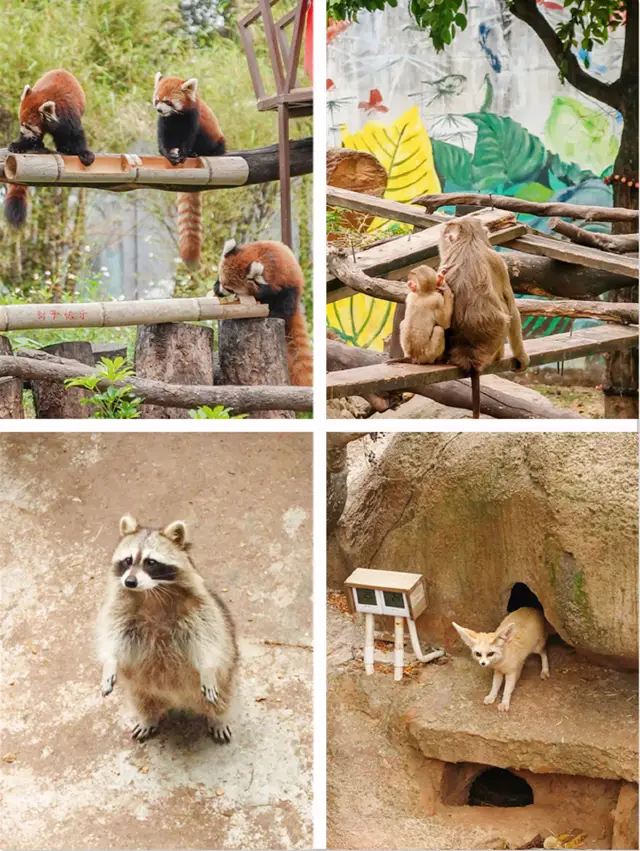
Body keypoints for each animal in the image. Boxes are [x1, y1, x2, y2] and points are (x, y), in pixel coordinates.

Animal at [4, 70, 95, 228]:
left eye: (28, 126)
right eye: (21, 123)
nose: (22, 133)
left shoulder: (69, 116)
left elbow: (76, 135)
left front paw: (84, 153)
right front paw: (19, 145)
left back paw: (63, 149)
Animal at [94, 516, 236, 744]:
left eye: (150, 562)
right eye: (127, 560)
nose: (130, 582)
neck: (151, 593)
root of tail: (178, 700)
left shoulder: (199, 609)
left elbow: (208, 638)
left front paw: (207, 668)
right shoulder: (119, 611)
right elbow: (113, 637)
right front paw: (109, 662)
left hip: (226, 678)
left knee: (221, 700)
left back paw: (218, 719)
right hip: (141, 687)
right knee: (142, 700)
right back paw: (148, 718)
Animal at [154, 76, 226, 272]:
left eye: (168, 101)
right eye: (157, 99)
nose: (158, 109)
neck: (175, 117)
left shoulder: (193, 118)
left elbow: (189, 138)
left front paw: (185, 153)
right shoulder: (165, 123)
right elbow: (163, 139)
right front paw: (167, 153)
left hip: (217, 139)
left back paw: (198, 153)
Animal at [215, 238, 312, 388]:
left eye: (230, 289)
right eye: (220, 280)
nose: (219, 292)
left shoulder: (277, 278)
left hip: (292, 288)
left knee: (286, 304)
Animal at [438, 220, 528, 420]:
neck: (468, 239)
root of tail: (469, 353)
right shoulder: (497, 260)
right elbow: (512, 308)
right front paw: (522, 357)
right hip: (495, 346)